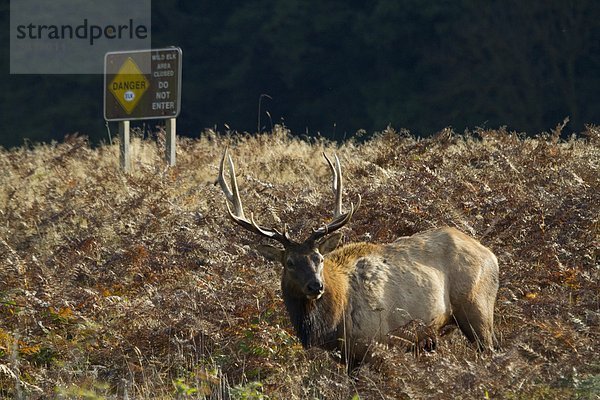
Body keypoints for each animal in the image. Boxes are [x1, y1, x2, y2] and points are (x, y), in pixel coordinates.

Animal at [218, 150, 500, 366]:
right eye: (289, 263)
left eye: (319, 258)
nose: (315, 286)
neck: (331, 324)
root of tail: (492, 256)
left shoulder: (373, 344)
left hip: (477, 308)